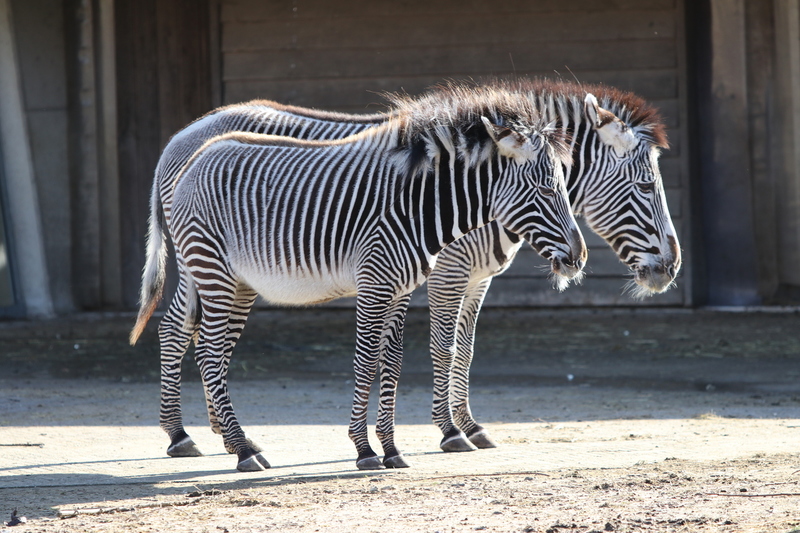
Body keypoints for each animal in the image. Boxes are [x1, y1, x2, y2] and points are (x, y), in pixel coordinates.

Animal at [133, 78, 681, 463]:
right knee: (183, 333)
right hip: (206, 266)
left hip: (236, 277)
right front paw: (443, 433)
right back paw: (195, 438)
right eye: (646, 185)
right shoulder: (444, 273)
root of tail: (185, 138)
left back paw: (223, 437)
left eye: (565, 185)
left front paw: (451, 430)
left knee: (206, 340)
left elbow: (448, 352)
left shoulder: (468, 279)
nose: (670, 268)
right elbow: (434, 350)